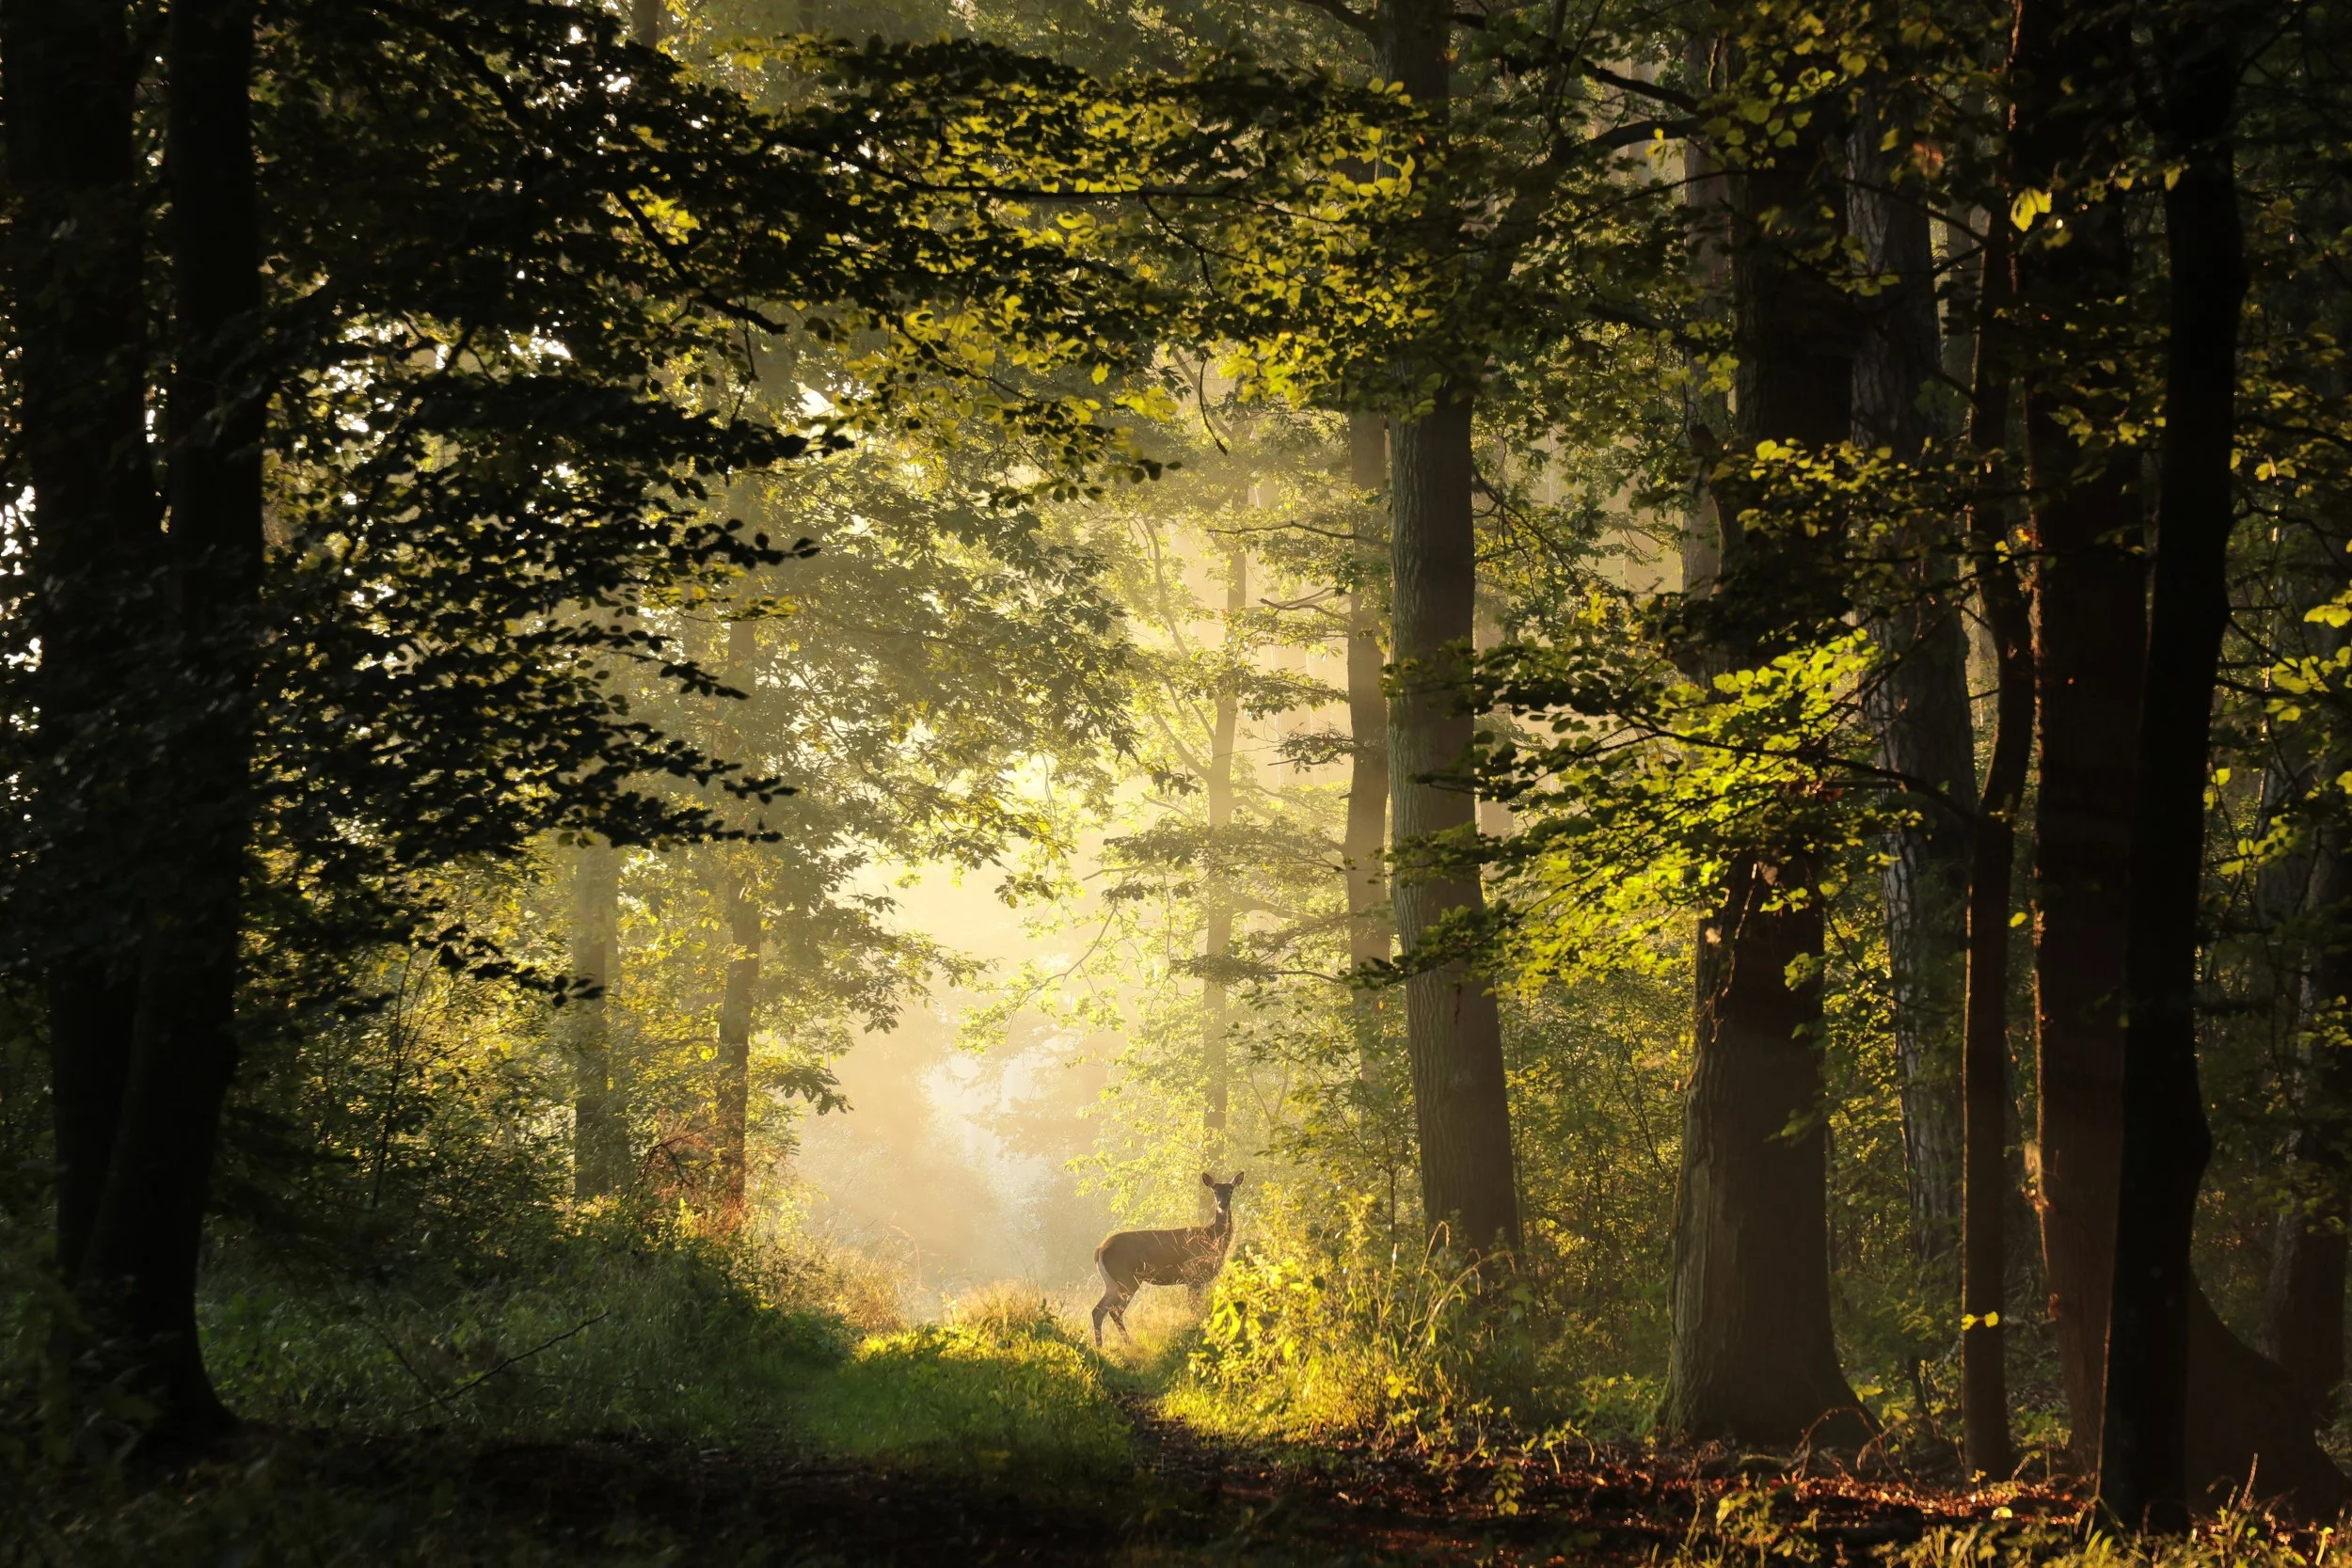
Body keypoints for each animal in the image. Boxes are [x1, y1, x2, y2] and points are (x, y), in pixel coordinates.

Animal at [1090, 1171, 1244, 1348]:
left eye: (1230, 1190)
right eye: (1215, 1191)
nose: (1222, 1204)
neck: (1213, 1238)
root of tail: (1099, 1249)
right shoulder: (1193, 1275)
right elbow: (1195, 1308)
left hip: (1112, 1283)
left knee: (1098, 1310)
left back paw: (1101, 1346)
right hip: (1126, 1278)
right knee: (1115, 1310)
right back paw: (1129, 1343)